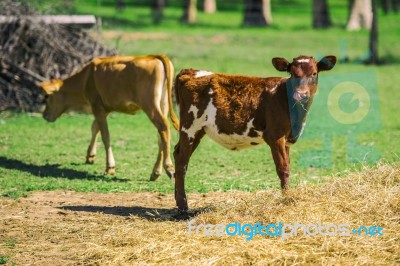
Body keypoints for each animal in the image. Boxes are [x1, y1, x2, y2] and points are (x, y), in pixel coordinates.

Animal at [173, 54, 336, 212]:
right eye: (292, 73)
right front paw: (286, 199)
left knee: (177, 153)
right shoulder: (275, 136)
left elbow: (288, 165)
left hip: (198, 131)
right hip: (190, 127)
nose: (300, 94)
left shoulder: (287, 140)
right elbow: (283, 169)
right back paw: (183, 206)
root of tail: (190, 71)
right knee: (182, 160)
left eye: (314, 73)